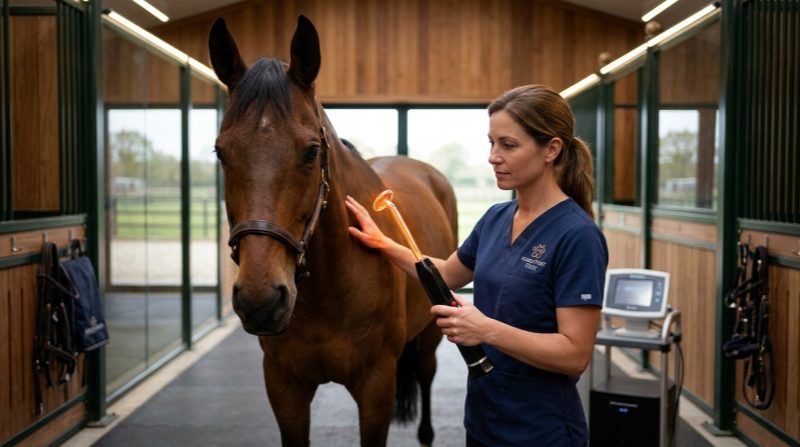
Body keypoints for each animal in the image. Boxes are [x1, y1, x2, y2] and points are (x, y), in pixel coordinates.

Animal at [208, 15, 458, 447]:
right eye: (221, 152)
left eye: (311, 151)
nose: (260, 299)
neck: (329, 290)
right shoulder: (284, 388)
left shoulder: (376, 389)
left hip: (430, 335)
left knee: (426, 379)